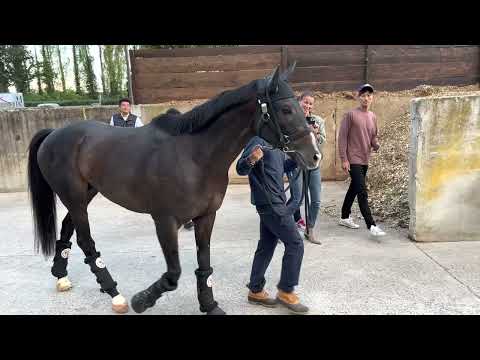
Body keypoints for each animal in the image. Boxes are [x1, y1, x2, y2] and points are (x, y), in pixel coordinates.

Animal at [26, 64, 318, 316]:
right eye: (286, 109)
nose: (313, 156)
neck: (194, 156)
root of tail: (54, 133)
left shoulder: (206, 217)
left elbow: (204, 266)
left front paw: (209, 305)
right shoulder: (165, 221)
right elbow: (173, 274)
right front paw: (142, 300)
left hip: (84, 194)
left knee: (67, 228)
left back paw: (61, 277)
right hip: (74, 196)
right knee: (86, 241)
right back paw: (115, 295)